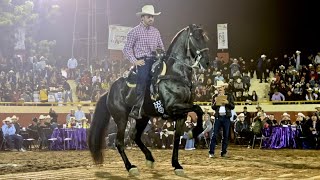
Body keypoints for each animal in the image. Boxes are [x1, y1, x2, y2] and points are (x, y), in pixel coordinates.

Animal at [88, 23, 210, 176]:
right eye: (197, 37)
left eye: (205, 37)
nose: (207, 62)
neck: (175, 73)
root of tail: (109, 91)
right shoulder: (173, 107)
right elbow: (198, 109)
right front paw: (194, 132)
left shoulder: (181, 114)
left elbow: (177, 138)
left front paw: (177, 165)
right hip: (121, 118)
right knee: (119, 142)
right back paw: (131, 167)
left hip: (143, 118)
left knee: (134, 136)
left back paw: (150, 158)